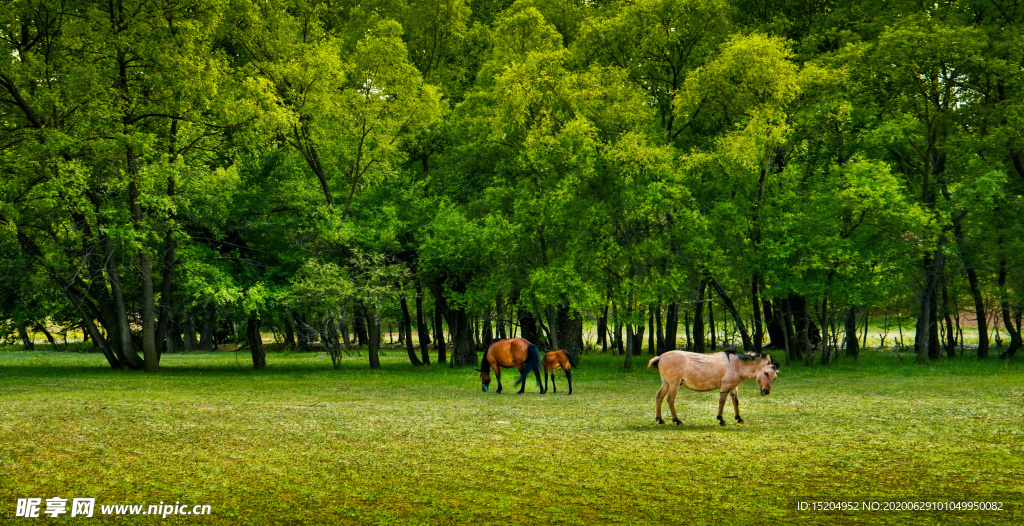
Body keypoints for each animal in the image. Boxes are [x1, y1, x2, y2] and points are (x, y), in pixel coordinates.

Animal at [643, 347, 778, 425]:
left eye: (775, 377)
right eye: (766, 373)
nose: (766, 391)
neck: (736, 365)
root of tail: (660, 357)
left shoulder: (733, 387)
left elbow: (736, 402)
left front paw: (738, 418)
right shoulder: (725, 386)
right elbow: (722, 402)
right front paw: (721, 419)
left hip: (666, 383)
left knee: (659, 397)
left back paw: (660, 419)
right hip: (674, 384)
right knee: (670, 399)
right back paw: (677, 420)